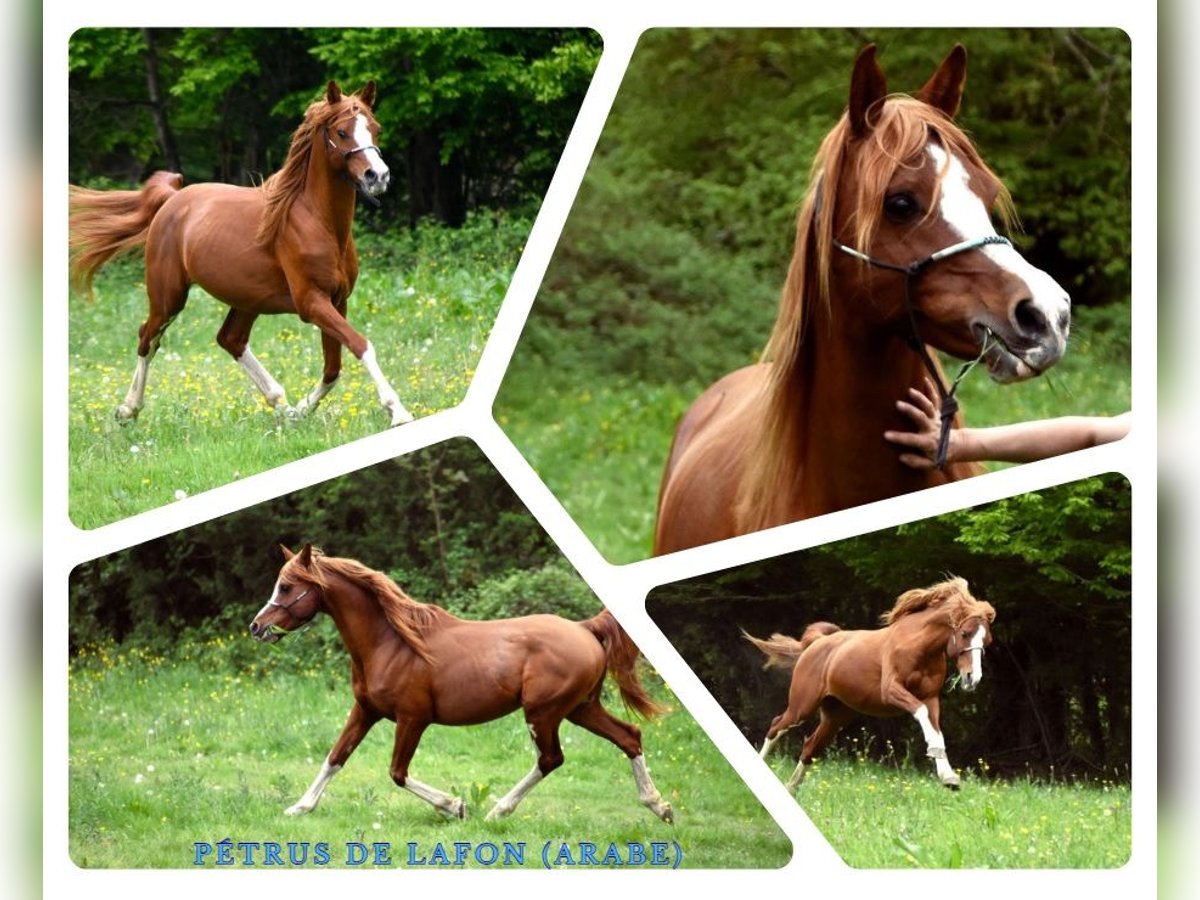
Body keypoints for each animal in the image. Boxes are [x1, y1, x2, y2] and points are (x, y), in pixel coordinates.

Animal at [73, 80, 417, 427]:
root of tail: (172, 200)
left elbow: (333, 368)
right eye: (342, 131)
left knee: (230, 339)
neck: (318, 222)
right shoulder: (311, 302)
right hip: (169, 296)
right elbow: (362, 345)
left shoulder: (337, 301)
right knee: (149, 337)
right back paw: (128, 410)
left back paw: (281, 405)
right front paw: (398, 412)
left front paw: (300, 411)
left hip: (249, 298)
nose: (378, 176)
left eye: (375, 128)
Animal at [249, 547, 676, 830]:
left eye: (286, 586)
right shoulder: (365, 711)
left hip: (544, 713)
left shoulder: (412, 718)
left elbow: (397, 772)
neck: (391, 643)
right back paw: (660, 806)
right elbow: (335, 757)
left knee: (551, 759)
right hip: (579, 708)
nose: (257, 627)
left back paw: (497, 811)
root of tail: (584, 628)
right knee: (629, 736)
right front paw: (299, 808)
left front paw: (455, 806)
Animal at [748, 580, 993, 792]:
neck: (918, 646)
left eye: (987, 641)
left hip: (836, 716)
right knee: (776, 726)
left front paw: (949, 778)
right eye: (965, 633)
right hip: (802, 707)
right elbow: (922, 714)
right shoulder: (892, 691)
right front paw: (939, 762)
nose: (972, 678)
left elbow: (936, 729)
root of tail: (816, 644)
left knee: (809, 749)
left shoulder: (930, 697)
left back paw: (791, 789)